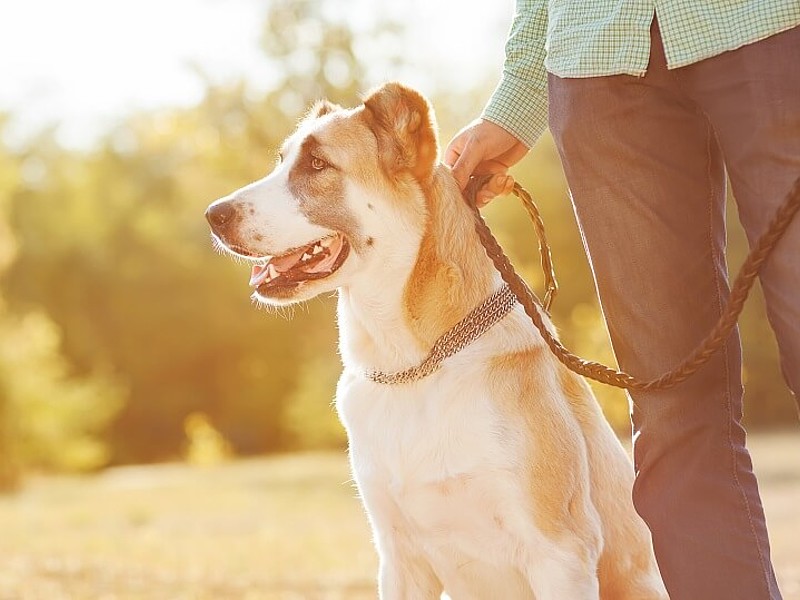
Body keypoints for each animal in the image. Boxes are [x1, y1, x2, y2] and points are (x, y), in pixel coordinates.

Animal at [206, 82, 668, 596]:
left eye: (318, 164)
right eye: (282, 160)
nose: (213, 216)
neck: (413, 365)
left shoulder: (560, 550)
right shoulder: (399, 559)